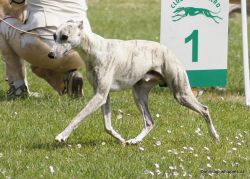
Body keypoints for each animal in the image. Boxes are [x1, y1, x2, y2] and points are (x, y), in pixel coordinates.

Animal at [48, 20, 219, 144]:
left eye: (65, 36)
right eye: (54, 36)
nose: (50, 54)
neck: (95, 49)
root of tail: (169, 51)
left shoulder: (100, 95)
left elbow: (78, 116)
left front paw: (62, 135)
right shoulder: (103, 95)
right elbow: (107, 125)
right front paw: (120, 138)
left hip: (181, 94)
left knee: (204, 109)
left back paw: (215, 136)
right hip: (139, 94)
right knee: (150, 122)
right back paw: (134, 141)